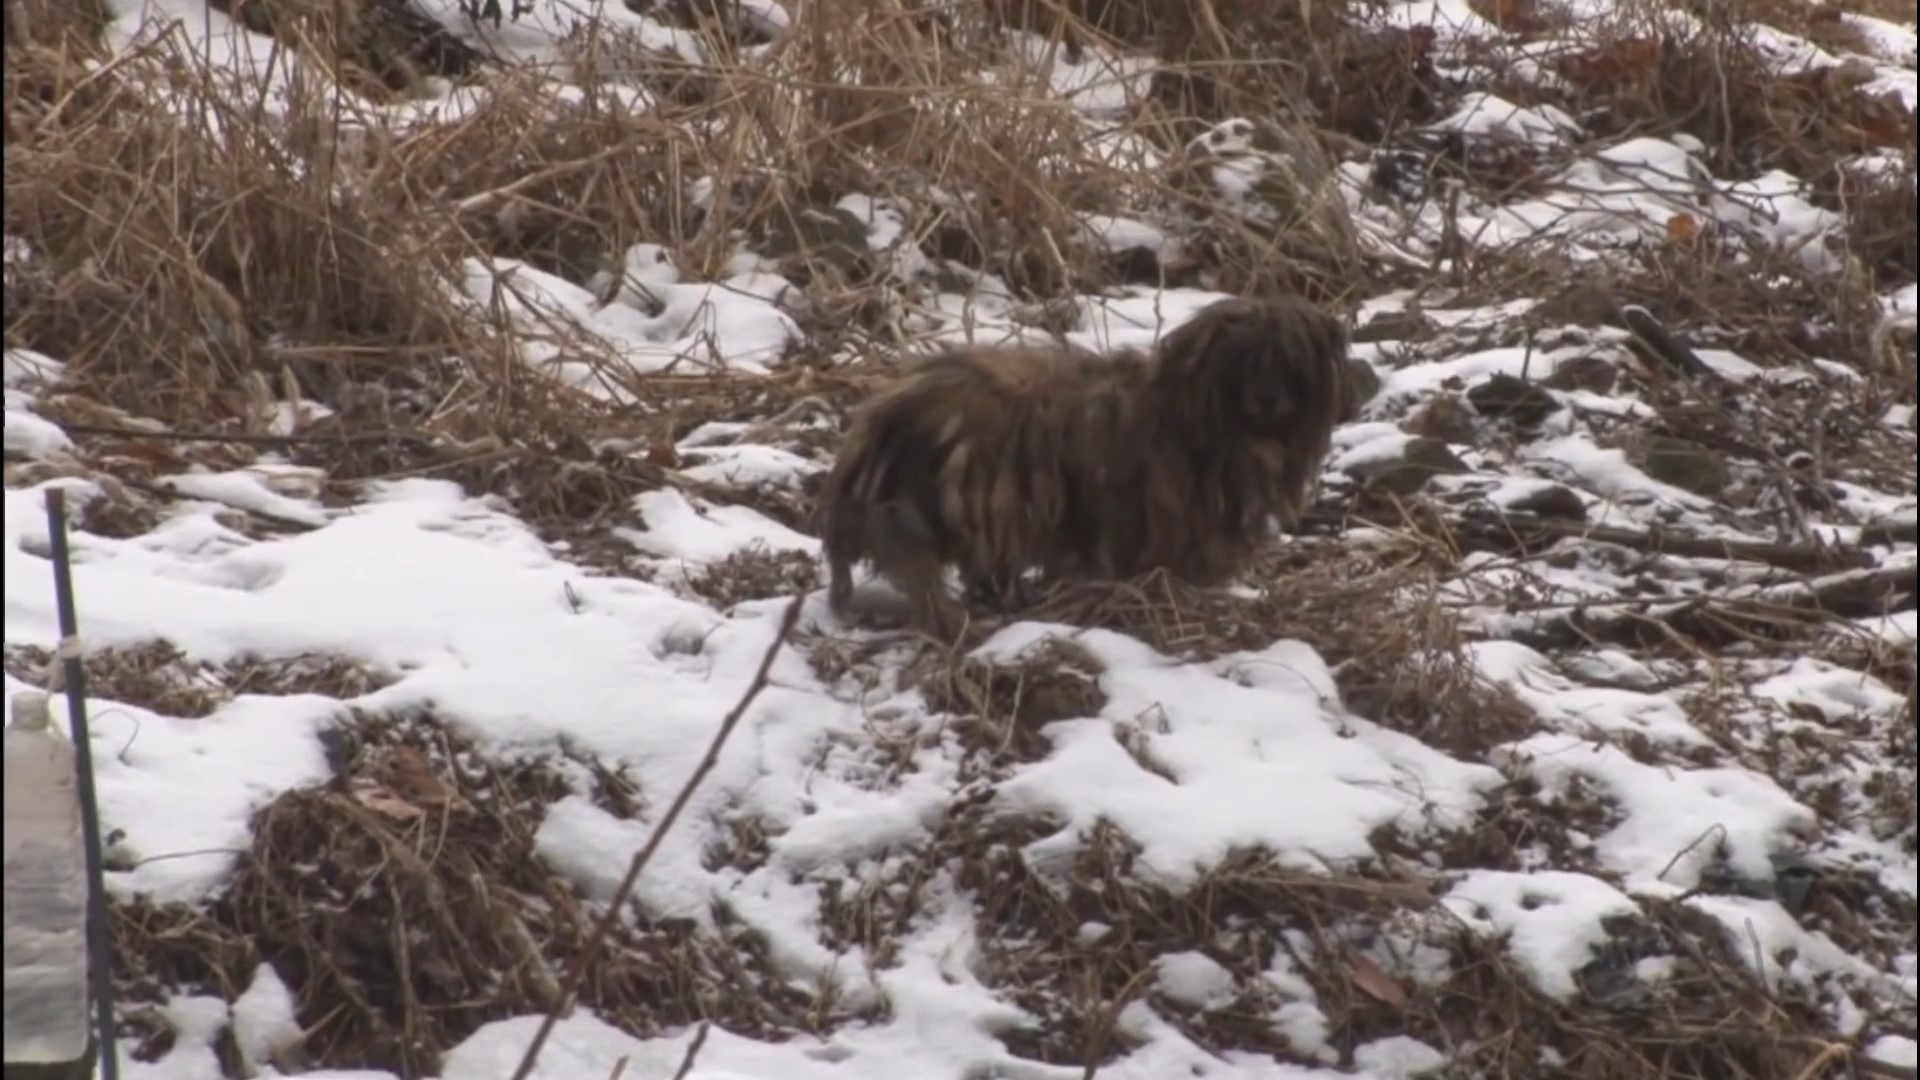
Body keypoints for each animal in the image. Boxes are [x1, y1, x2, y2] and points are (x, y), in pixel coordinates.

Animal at [817, 294, 1344, 634]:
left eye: (1289, 363)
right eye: (1243, 360)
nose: (1268, 399)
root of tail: (883, 415)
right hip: (944, 500)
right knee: (917, 565)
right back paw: (953, 615)